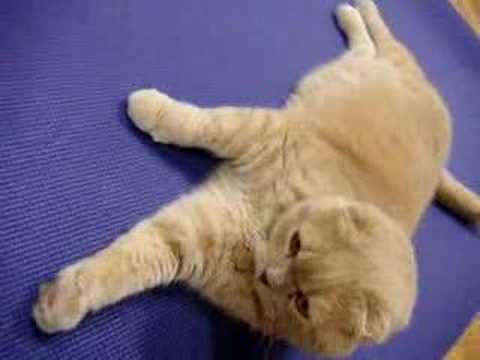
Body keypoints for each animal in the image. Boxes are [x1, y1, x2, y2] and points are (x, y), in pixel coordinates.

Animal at [31, 0, 478, 358]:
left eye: (302, 303)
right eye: (297, 244)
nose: (270, 275)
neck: (262, 231)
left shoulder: (188, 240)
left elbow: (125, 266)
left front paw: (60, 300)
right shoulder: (255, 131)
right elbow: (196, 123)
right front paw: (147, 108)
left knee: (371, 44)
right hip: (385, 61)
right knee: (376, 36)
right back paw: (353, 10)